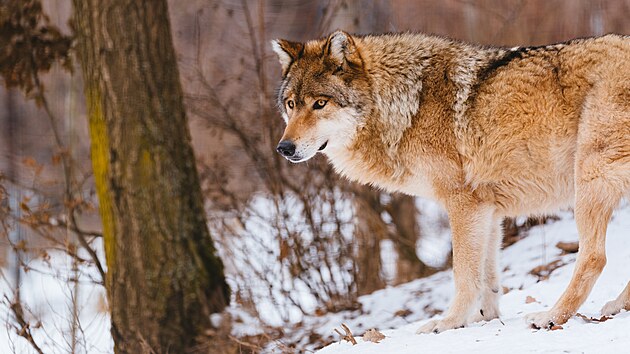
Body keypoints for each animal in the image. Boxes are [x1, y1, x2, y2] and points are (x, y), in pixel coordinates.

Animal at [274, 29, 630, 332]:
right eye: (291, 105)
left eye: (320, 103)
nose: (284, 148)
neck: (407, 107)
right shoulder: (488, 211)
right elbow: (487, 279)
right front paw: (485, 320)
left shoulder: (463, 204)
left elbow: (463, 274)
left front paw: (448, 323)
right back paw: (617, 306)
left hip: (589, 180)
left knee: (594, 257)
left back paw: (551, 316)